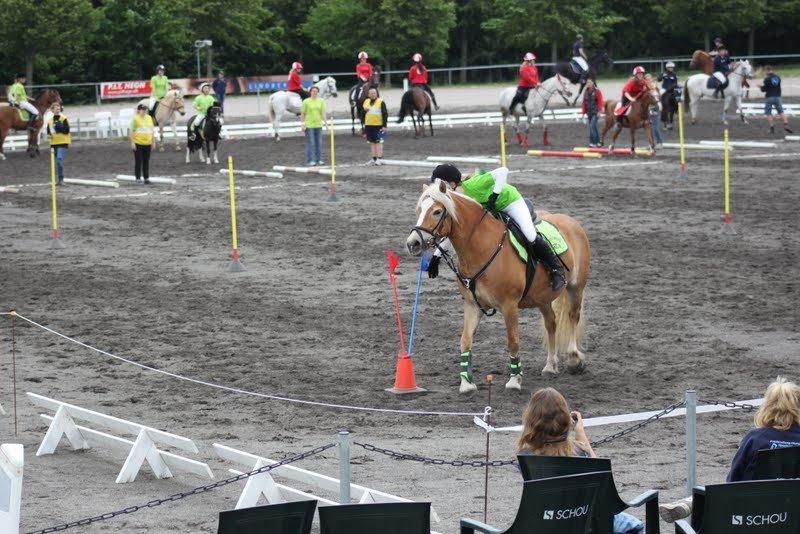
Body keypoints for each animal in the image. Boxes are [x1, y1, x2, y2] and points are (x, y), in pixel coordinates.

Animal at [404, 180, 592, 394]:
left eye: (436, 211)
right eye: (419, 209)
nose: (413, 243)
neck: (482, 248)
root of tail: (570, 221)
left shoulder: (509, 306)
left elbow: (513, 341)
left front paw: (515, 380)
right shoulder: (472, 305)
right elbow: (465, 341)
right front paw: (466, 383)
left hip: (576, 287)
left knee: (573, 316)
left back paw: (574, 358)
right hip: (543, 297)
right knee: (551, 323)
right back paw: (550, 365)